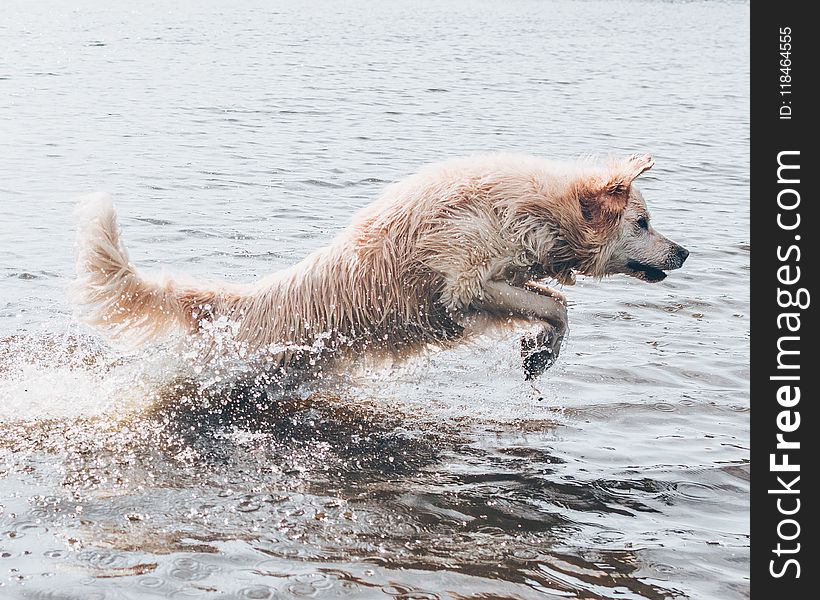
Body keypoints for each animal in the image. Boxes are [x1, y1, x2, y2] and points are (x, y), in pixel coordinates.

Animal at [70, 155, 688, 380]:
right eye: (642, 222)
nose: (684, 252)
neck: (536, 209)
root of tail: (240, 304)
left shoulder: (502, 277)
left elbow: (554, 302)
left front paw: (540, 353)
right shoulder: (464, 282)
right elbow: (554, 305)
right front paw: (541, 351)